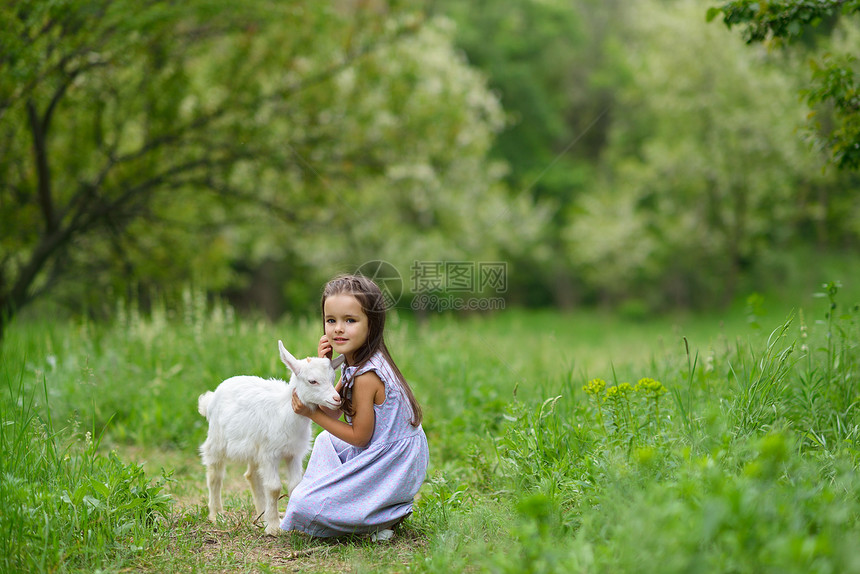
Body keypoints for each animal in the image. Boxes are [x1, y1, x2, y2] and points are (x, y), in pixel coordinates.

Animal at [198, 342, 342, 536]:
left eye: (333, 378)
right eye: (312, 381)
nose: (337, 399)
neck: (285, 412)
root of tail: (211, 398)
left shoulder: (293, 453)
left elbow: (294, 485)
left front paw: (287, 521)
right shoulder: (270, 454)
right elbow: (274, 488)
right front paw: (274, 527)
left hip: (254, 447)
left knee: (252, 476)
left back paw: (260, 516)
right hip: (217, 438)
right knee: (215, 473)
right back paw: (216, 514)